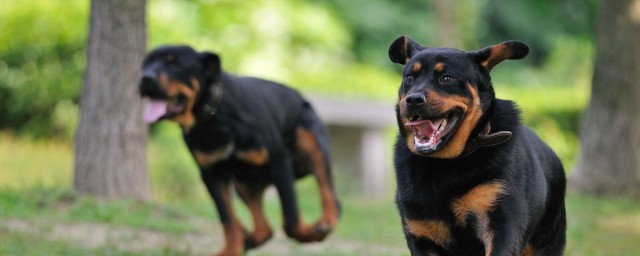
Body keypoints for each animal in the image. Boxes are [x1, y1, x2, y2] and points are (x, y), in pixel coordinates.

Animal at [139, 45, 340, 256]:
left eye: (175, 63)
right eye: (146, 64)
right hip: (243, 182)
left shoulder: (279, 163)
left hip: (313, 144)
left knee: (329, 193)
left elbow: (291, 217)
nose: (145, 78)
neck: (216, 116)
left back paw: (326, 221)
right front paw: (230, 250)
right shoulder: (211, 175)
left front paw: (311, 235)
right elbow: (227, 219)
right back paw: (248, 239)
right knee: (264, 229)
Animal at [390, 36, 564, 256]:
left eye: (447, 78)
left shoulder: (501, 223)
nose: (413, 99)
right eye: (409, 78)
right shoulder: (421, 231)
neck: (446, 163)